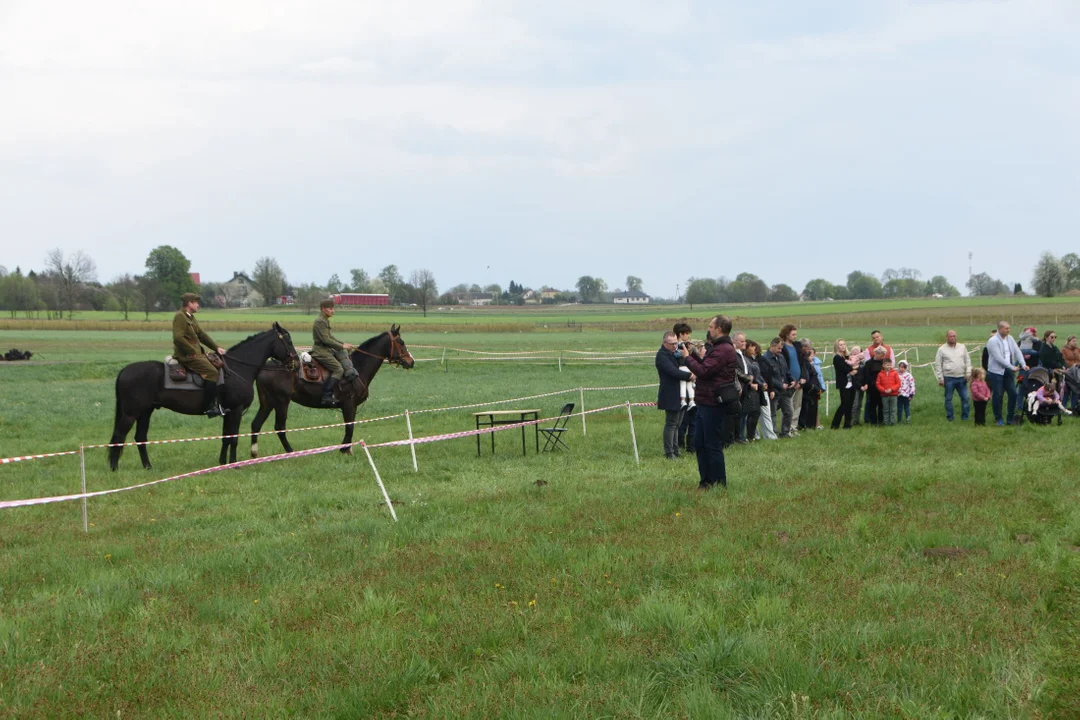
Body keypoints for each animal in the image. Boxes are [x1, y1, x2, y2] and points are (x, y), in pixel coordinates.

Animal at [108, 321, 298, 470]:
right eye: (288, 340)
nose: (296, 363)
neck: (237, 369)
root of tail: (125, 371)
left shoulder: (228, 413)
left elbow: (225, 438)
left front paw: (223, 462)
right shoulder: (236, 411)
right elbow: (233, 438)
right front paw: (234, 463)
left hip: (145, 412)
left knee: (140, 438)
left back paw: (147, 466)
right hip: (131, 413)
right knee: (119, 435)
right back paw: (114, 467)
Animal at [250, 325, 414, 455]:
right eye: (401, 342)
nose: (411, 361)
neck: (357, 368)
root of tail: (264, 369)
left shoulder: (351, 407)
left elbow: (350, 426)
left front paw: (346, 448)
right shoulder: (348, 405)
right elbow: (349, 427)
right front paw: (344, 449)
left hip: (267, 403)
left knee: (256, 424)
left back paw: (254, 454)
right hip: (281, 403)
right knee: (279, 427)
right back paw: (290, 452)